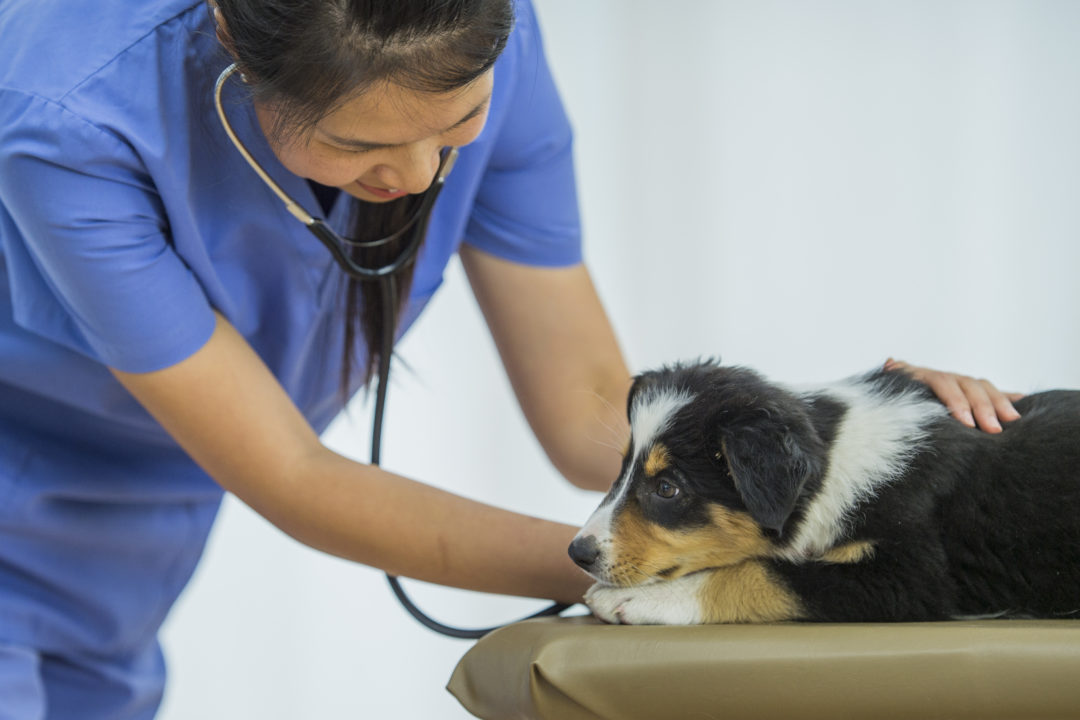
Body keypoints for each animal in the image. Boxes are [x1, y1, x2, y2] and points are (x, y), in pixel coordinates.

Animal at [570, 360, 1075, 626]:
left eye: (667, 487)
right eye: (620, 471)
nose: (577, 552)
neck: (832, 462)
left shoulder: (911, 579)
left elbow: (763, 574)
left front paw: (636, 600)